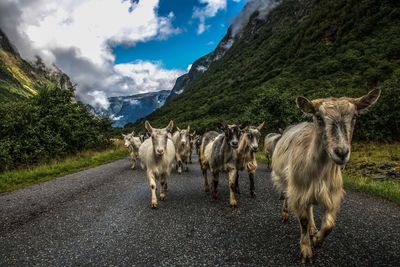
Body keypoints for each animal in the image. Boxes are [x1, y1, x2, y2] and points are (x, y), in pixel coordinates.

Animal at [272, 90, 382, 264]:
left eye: (355, 116)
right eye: (319, 117)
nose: (341, 152)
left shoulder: (332, 194)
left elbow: (329, 224)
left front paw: (317, 240)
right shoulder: (298, 191)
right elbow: (303, 220)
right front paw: (306, 252)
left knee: (310, 208)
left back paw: (313, 229)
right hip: (285, 180)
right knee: (285, 196)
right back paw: (285, 214)